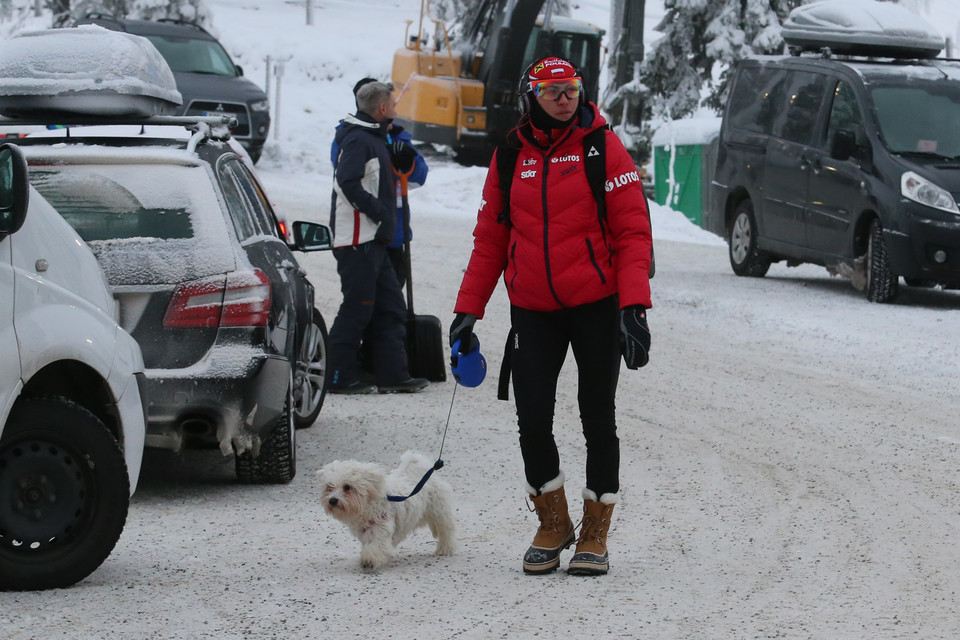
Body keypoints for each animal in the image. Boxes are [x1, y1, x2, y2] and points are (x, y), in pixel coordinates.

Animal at [318, 450, 458, 568]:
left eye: (347, 487)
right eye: (329, 487)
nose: (332, 500)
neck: (367, 505)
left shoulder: (381, 529)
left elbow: (377, 546)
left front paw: (369, 559)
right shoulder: (365, 533)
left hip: (440, 512)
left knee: (446, 531)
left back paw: (444, 549)